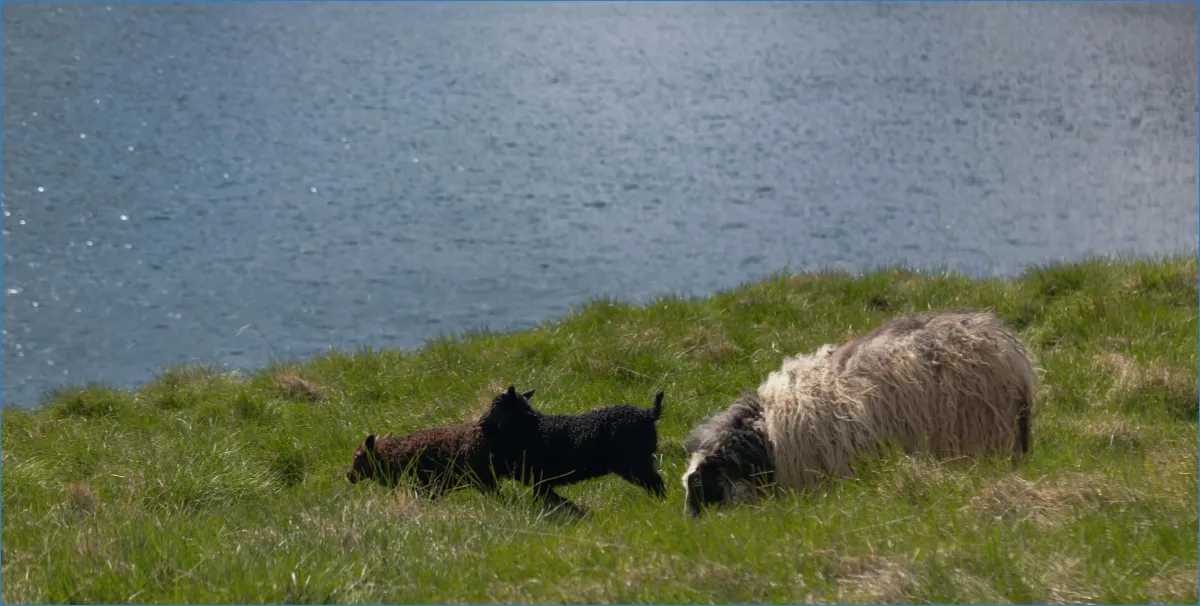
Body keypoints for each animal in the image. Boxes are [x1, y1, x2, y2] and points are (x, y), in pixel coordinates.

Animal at [480, 386, 668, 511]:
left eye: (495, 406)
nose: (481, 423)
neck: (531, 427)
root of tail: (649, 414)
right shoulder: (541, 480)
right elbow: (548, 496)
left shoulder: (538, 477)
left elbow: (544, 497)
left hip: (634, 462)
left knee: (655, 483)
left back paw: (660, 504)